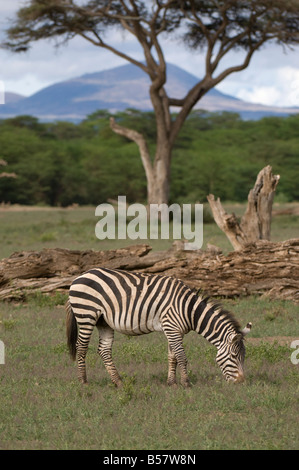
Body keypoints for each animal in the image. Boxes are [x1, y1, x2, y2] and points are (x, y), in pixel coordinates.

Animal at [66, 266, 253, 388]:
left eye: (244, 356)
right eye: (234, 356)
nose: (241, 382)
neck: (188, 309)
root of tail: (81, 275)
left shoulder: (174, 331)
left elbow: (173, 357)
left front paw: (172, 383)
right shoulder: (172, 328)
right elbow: (182, 357)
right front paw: (186, 384)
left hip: (103, 321)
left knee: (104, 350)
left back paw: (118, 382)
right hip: (86, 314)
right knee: (81, 347)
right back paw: (83, 381)